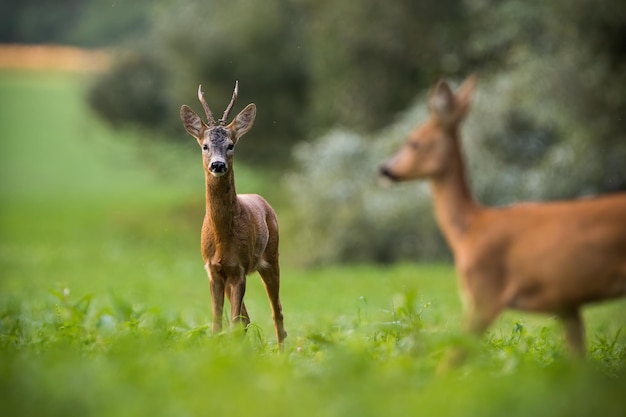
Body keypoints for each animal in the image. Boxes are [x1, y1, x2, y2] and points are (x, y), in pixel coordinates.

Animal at [179, 81, 286, 344]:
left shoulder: (239, 269)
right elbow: (218, 323)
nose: (218, 165)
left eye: (231, 145)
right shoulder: (214, 270)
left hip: (271, 257)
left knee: (276, 311)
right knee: (247, 318)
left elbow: (234, 321)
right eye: (205, 146)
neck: (222, 238)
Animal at [378, 74, 624, 358]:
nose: (385, 169)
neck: (471, 227)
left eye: (413, 141)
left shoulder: (484, 291)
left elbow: (452, 357)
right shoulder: (566, 301)